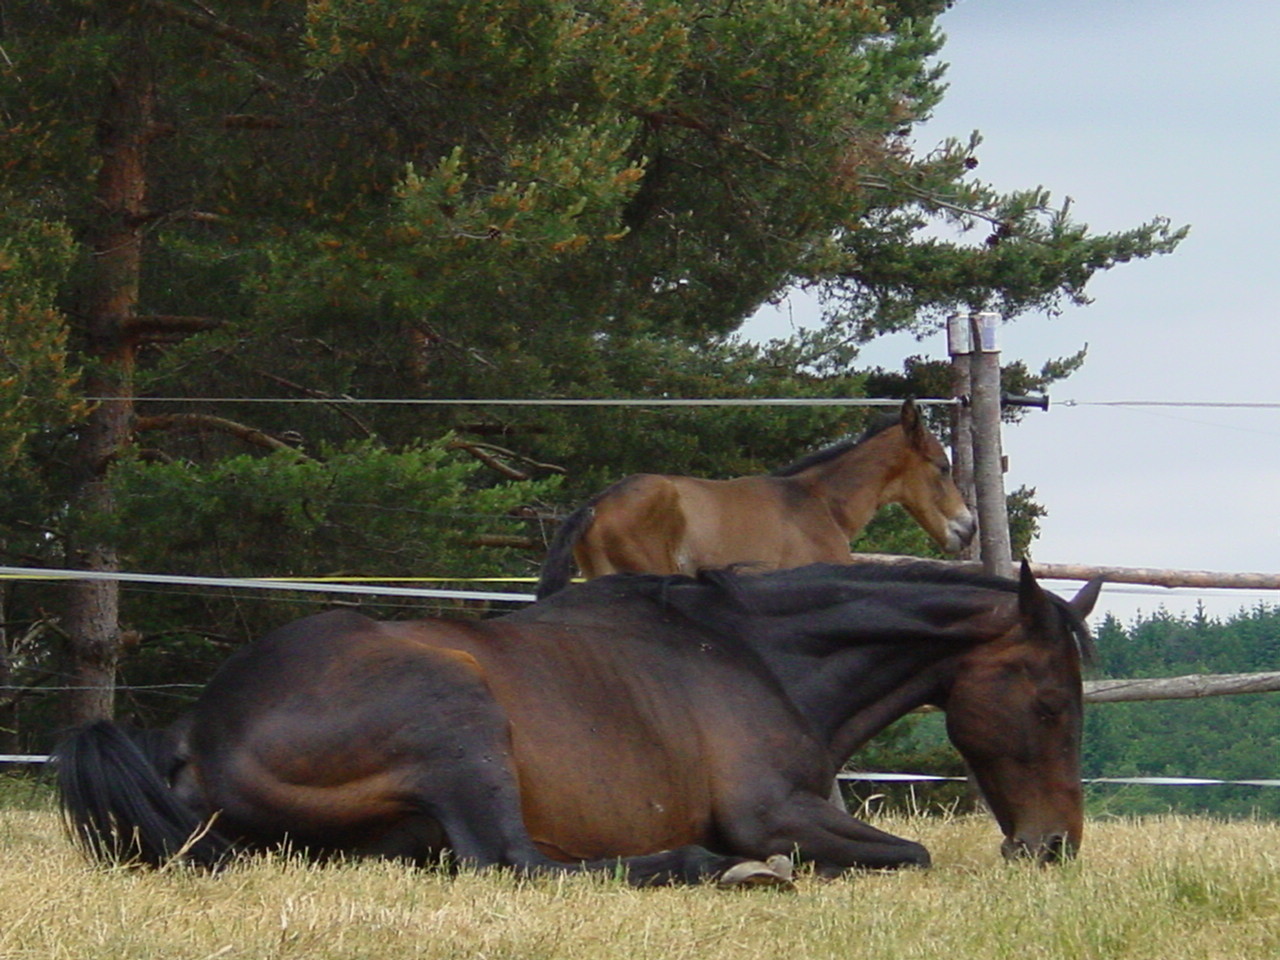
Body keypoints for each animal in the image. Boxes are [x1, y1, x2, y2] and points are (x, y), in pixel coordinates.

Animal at [57, 563, 1100, 885]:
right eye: (1051, 704)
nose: (1053, 845)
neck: (754, 654)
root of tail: (196, 729)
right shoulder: (774, 814)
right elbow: (908, 854)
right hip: (458, 720)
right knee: (511, 863)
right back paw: (710, 869)